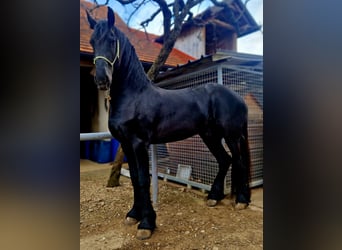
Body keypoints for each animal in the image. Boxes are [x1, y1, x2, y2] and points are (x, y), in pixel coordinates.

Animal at [86, 6, 251, 240]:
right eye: (92, 41)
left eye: (111, 39)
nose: (101, 79)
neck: (134, 96)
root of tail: (238, 96)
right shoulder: (126, 144)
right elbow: (134, 178)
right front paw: (134, 214)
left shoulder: (139, 144)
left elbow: (143, 179)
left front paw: (146, 224)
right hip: (210, 136)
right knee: (225, 160)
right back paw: (214, 197)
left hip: (232, 135)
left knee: (238, 161)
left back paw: (241, 201)